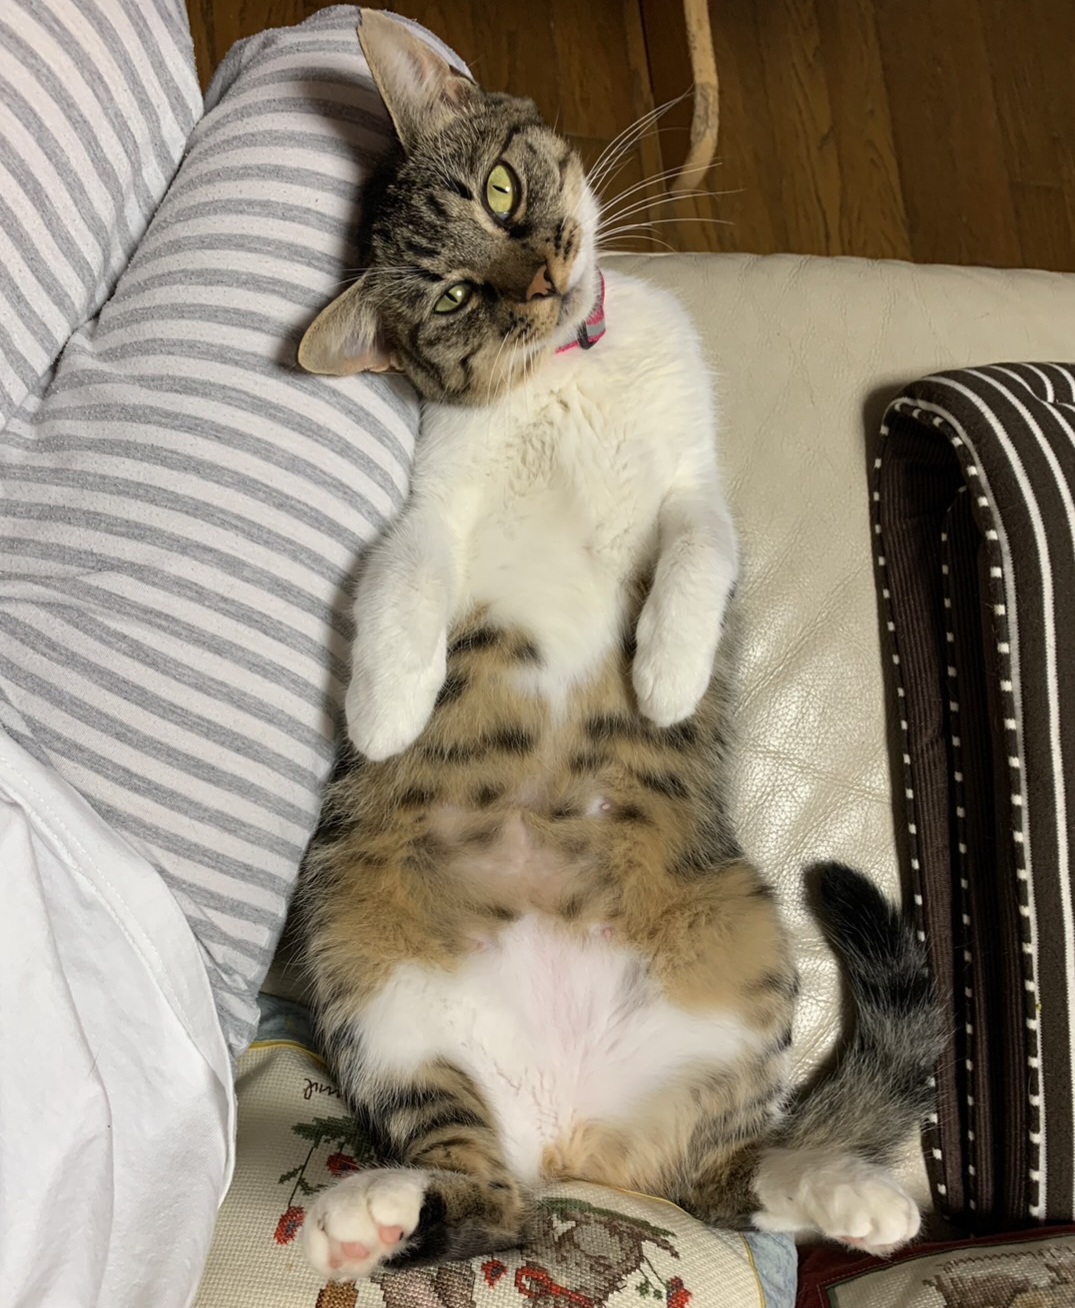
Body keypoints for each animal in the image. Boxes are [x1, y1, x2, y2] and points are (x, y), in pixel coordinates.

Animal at [293, 8, 942, 1284]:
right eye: (454, 296)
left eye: (500, 190)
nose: (543, 274)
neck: (566, 374)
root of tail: (571, 1131)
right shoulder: (435, 506)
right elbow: (401, 572)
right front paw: (385, 704)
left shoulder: (695, 483)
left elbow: (697, 550)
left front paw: (668, 668)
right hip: (367, 976)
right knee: (487, 1197)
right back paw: (372, 1210)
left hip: (739, 958)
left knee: (729, 1181)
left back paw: (852, 1195)